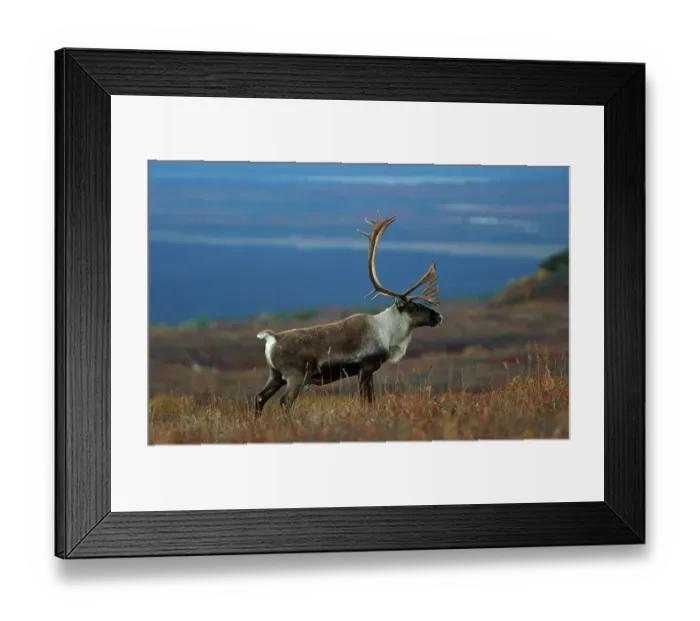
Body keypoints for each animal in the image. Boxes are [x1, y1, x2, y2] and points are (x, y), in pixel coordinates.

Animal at [254, 213, 443, 417]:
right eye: (414, 306)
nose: (438, 316)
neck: (388, 332)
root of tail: (272, 338)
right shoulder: (366, 367)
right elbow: (367, 400)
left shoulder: (368, 370)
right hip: (296, 376)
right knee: (284, 401)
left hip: (276, 375)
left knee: (260, 398)